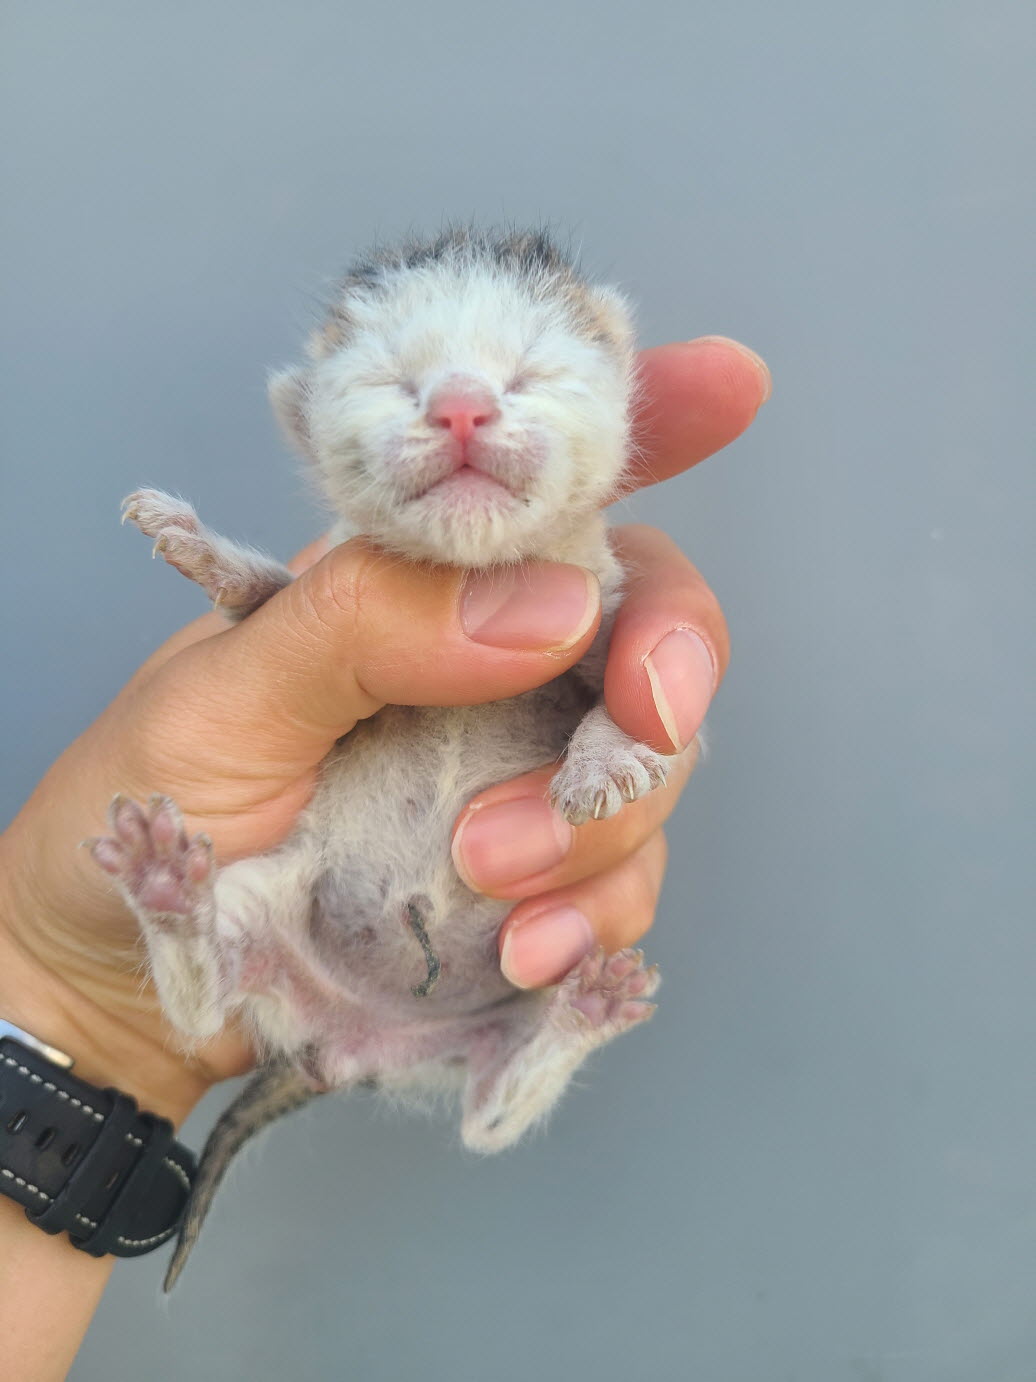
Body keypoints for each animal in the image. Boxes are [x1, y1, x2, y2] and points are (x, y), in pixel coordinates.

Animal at [87, 221, 674, 1288]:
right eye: (394, 384)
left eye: (528, 374)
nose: (461, 404)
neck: (476, 573)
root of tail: (354, 1046)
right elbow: (267, 598)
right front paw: (201, 547)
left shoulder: (602, 618)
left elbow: (629, 687)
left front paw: (606, 763)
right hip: (269, 915)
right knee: (199, 1015)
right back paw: (165, 887)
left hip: (504, 1005)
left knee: (488, 1121)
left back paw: (585, 1014)